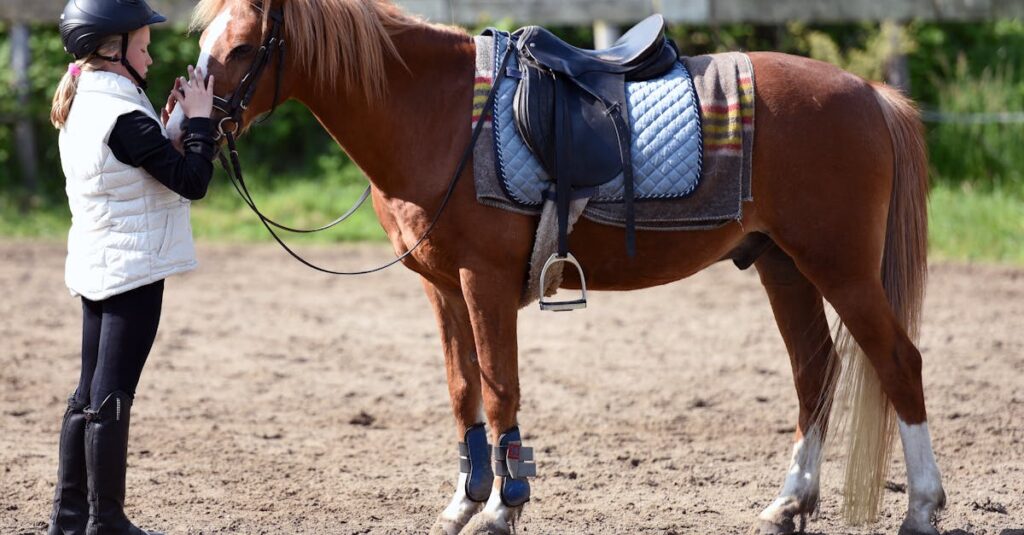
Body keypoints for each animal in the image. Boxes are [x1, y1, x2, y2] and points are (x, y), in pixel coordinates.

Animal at [167, 1, 946, 533]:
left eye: (242, 47)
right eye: (203, 42)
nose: (179, 130)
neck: (435, 113)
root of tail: (869, 93)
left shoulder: (481, 282)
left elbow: (499, 389)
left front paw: (502, 508)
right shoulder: (441, 288)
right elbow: (463, 390)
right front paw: (463, 501)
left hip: (841, 270)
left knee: (899, 362)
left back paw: (922, 508)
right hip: (783, 266)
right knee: (816, 370)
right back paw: (787, 502)